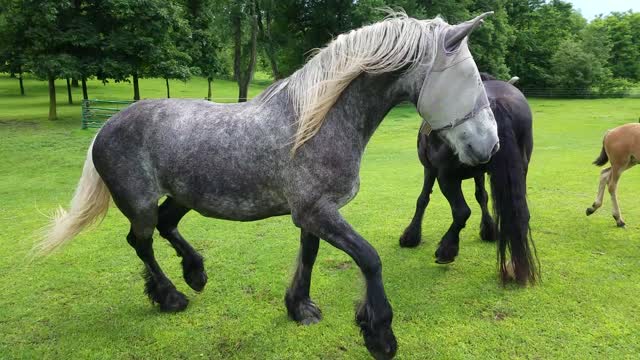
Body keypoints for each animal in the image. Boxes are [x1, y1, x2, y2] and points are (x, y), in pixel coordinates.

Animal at [37, 12, 498, 358]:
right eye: (472, 80)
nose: (489, 145)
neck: (314, 124)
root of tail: (105, 127)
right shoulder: (317, 211)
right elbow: (369, 259)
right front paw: (379, 334)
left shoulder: (314, 213)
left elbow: (309, 257)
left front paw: (300, 308)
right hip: (142, 204)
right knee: (142, 242)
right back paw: (170, 297)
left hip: (185, 195)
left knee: (167, 227)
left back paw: (195, 273)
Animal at [400, 73, 540, 284]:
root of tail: (496, 101)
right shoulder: (479, 172)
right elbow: (482, 196)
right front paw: (489, 229)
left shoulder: (431, 169)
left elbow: (423, 199)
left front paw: (411, 236)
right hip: (521, 168)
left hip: (446, 177)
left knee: (461, 212)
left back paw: (447, 250)